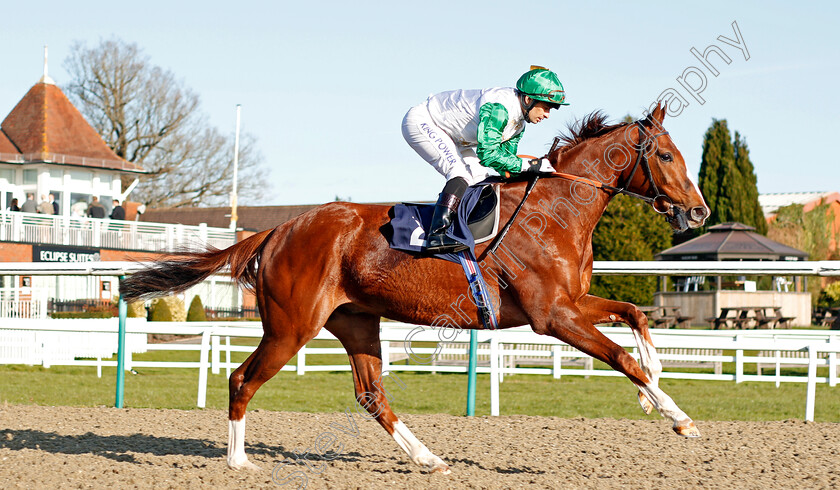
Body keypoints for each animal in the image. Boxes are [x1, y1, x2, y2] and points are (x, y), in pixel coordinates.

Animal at [120, 104, 708, 474]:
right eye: (666, 156)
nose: (699, 211)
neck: (554, 211)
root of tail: (279, 229)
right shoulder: (552, 316)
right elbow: (621, 356)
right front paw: (679, 418)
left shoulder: (571, 304)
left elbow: (635, 313)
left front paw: (653, 391)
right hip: (291, 326)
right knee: (242, 379)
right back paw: (239, 460)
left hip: (355, 321)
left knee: (371, 395)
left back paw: (428, 458)